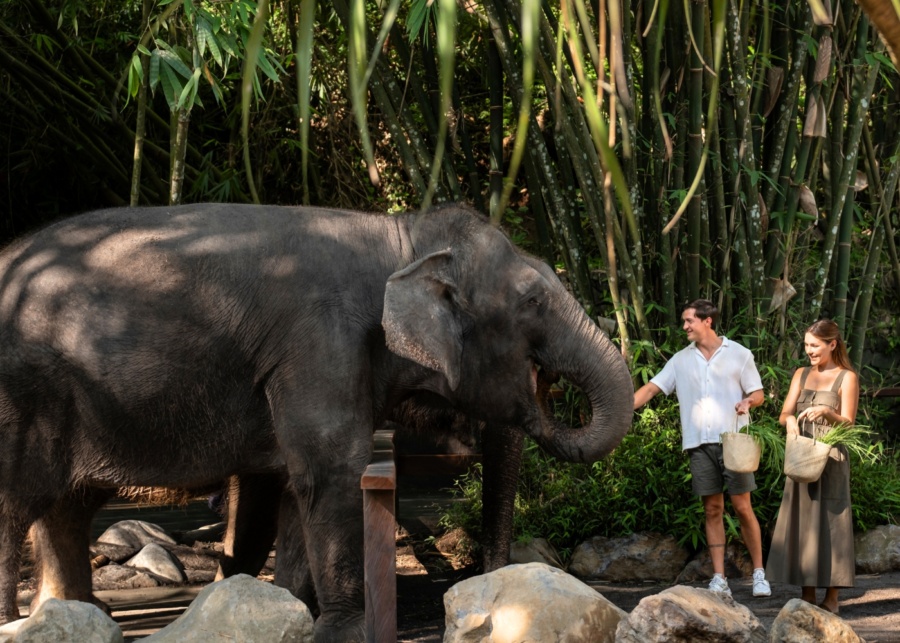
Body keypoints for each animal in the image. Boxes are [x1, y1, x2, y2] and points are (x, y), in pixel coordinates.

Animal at [0, 202, 633, 641]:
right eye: (531, 303)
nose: (481, 587)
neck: (399, 238)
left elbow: (290, 487)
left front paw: (289, 612)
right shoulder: (320, 345)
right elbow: (331, 473)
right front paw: (344, 629)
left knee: (66, 506)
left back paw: (72, 614)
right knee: (16, 506)